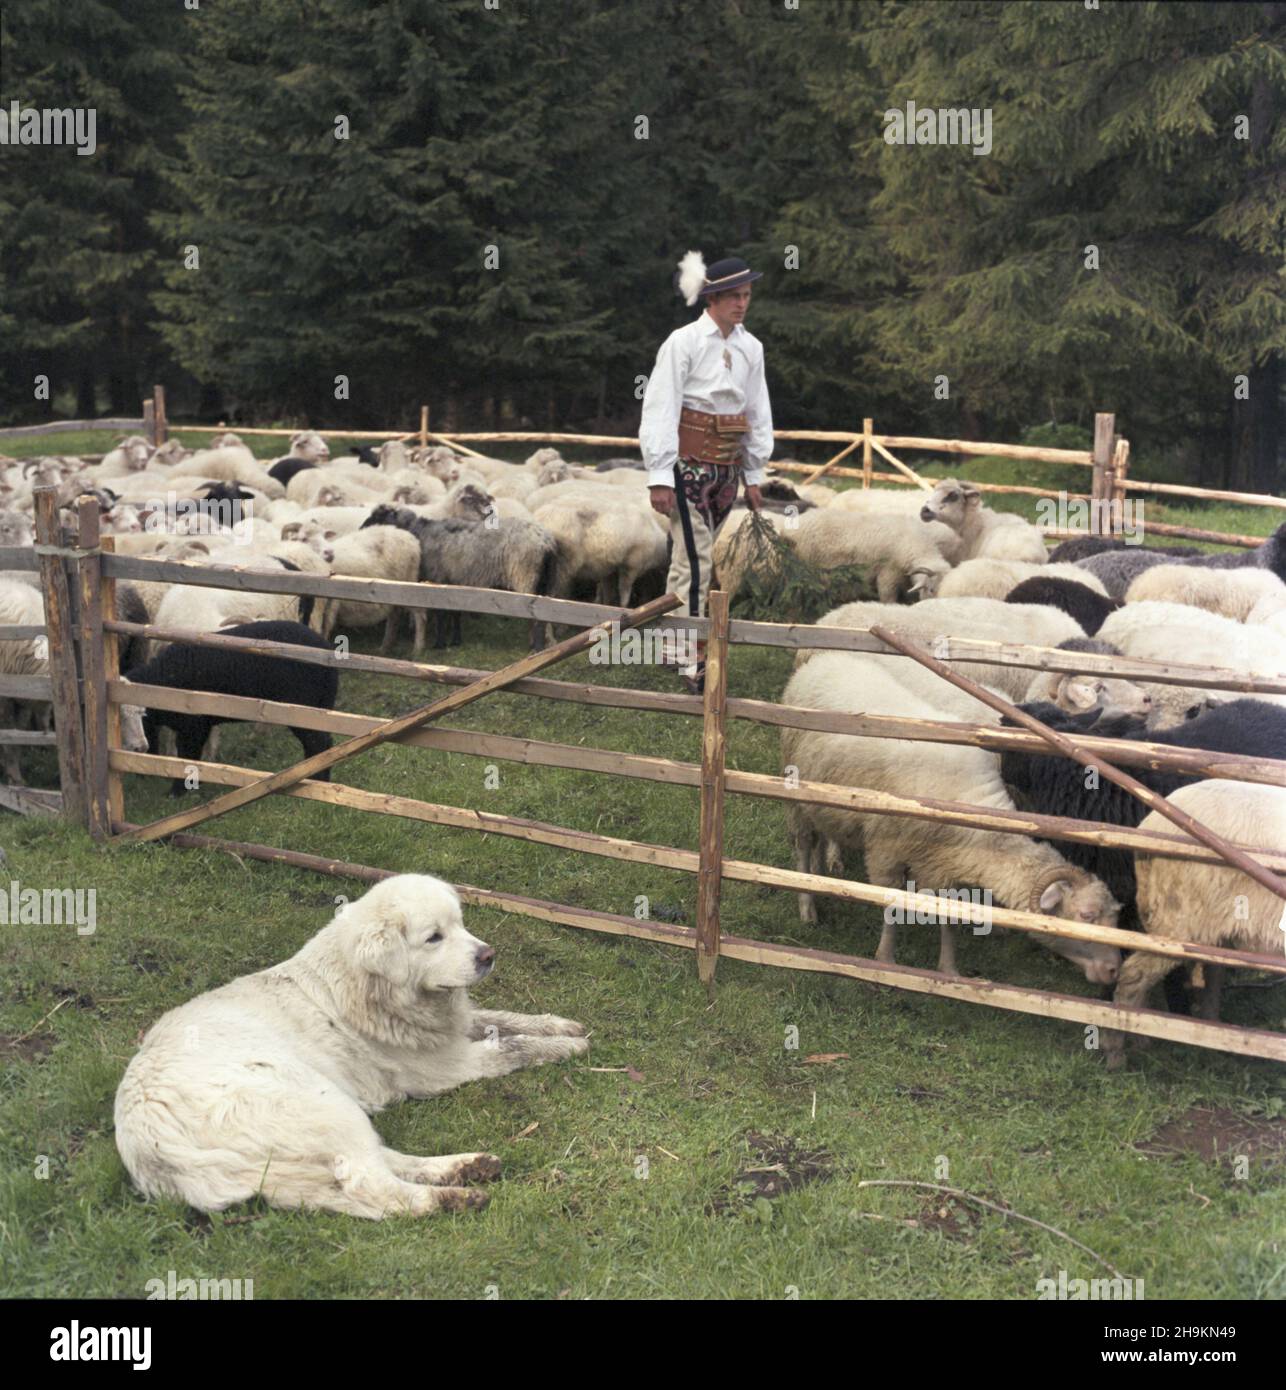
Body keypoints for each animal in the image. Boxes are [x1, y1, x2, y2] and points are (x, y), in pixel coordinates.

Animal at [115, 878, 586, 1217]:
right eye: (434, 937)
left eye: (459, 925)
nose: (488, 955)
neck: (367, 988)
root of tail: (147, 1147)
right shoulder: (446, 1065)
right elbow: (513, 1048)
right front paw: (568, 1048)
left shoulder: (454, 1030)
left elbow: (503, 1020)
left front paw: (560, 1025)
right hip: (320, 1102)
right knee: (372, 1185)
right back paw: (455, 1197)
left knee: (378, 1166)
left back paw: (466, 1167)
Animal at [120, 619, 339, 795]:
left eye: (139, 714)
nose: (139, 747)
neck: (162, 684)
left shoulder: (193, 725)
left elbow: (188, 756)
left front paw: (178, 792)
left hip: (303, 706)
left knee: (319, 743)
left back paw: (318, 783)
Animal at [778, 647, 1117, 984]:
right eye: (1086, 915)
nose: (1113, 971)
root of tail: (821, 663)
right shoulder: (886, 854)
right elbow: (892, 906)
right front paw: (885, 961)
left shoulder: (944, 862)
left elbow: (949, 919)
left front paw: (949, 969)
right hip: (796, 796)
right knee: (804, 844)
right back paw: (807, 905)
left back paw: (820, 872)